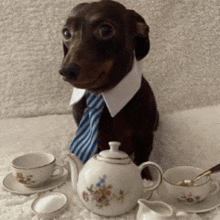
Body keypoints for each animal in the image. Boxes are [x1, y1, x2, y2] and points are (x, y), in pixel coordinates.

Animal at [58, 0, 158, 171]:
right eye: (66, 33)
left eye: (105, 30)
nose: (66, 71)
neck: (100, 95)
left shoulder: (145, 138)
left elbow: (142, 161)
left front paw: (146, 176)